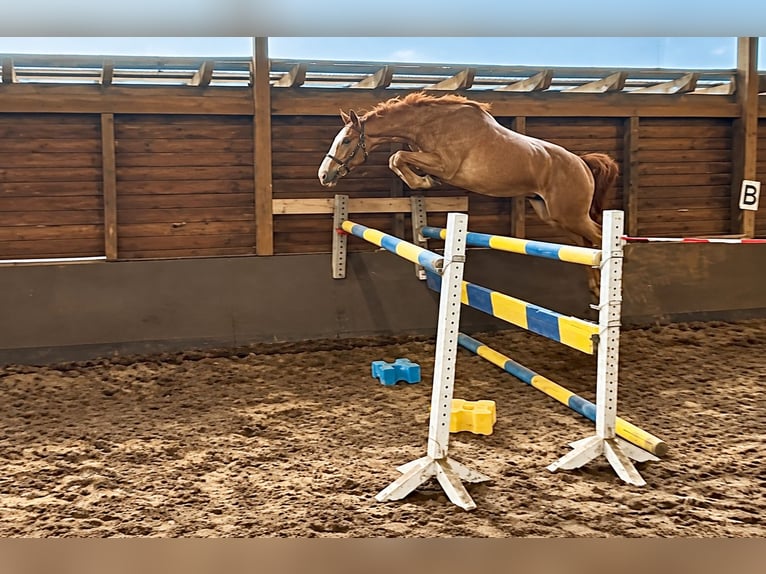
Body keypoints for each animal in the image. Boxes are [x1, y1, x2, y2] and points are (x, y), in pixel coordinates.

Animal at [317, 91, 619, 299]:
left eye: (346, 141)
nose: (324, 175)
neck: (432, 124)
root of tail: (582, 163)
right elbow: (398, 159)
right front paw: (422, 180)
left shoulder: (446, 166)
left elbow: (397, 156)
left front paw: (422, 181)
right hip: (555, 217)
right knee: (584, 245)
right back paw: (594, 288)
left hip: (572, 215)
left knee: (599, 237)